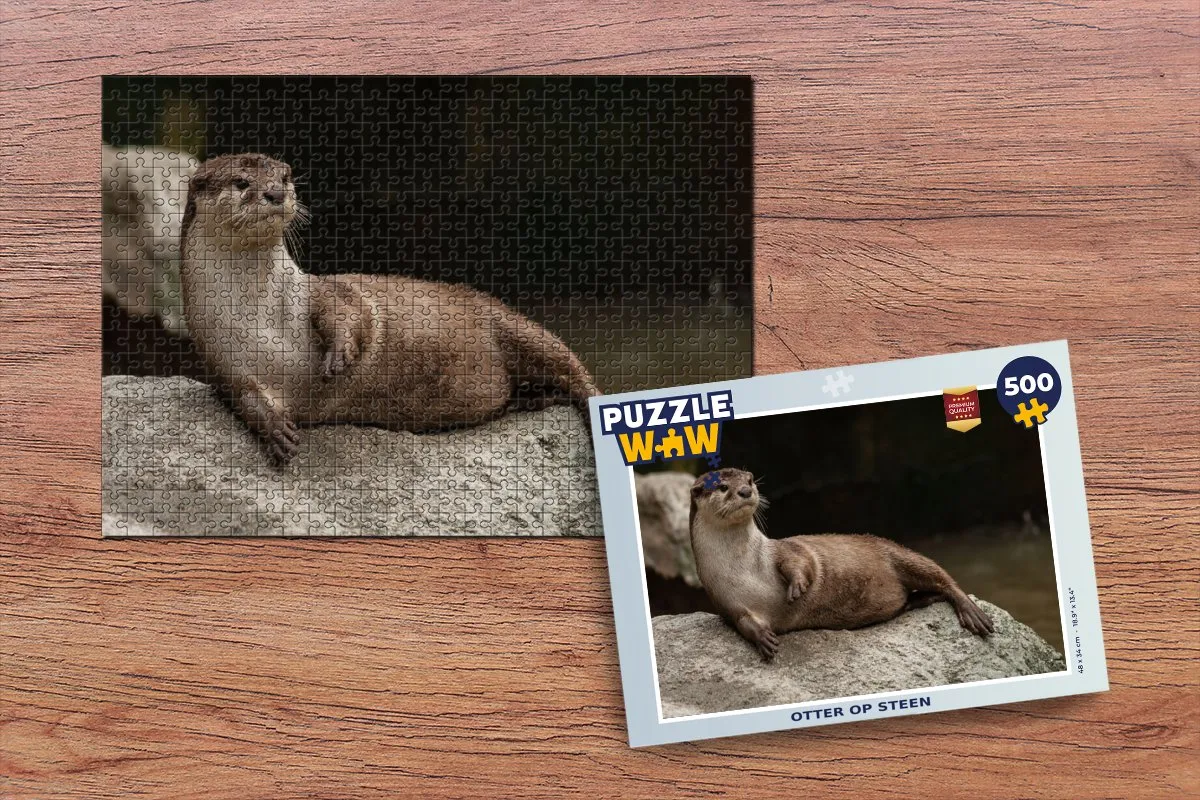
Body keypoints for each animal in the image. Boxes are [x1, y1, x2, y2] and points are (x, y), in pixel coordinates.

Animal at [180, 153, 599, 465]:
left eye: (286, 176)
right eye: (241, 183)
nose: (274, 193)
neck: (263, 318)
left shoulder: (317, 291)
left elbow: (351, 311)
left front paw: (340, 354)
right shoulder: (218, 355)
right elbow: (243, 396)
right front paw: (275, 431)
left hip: (507, 322)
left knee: (569, 364)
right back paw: (531, 400)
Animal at [689, 468, 994, 660]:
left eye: (750, 479)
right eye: (723, 487)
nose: (744, 490)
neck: (746, 569)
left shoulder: (783, 549)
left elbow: (801, 560)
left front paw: (797, 587)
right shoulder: (725, 600)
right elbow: (743, 622)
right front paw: (764, 639)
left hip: (898, 554)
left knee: (943, 577)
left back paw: (972, 613)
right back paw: (923, 600)